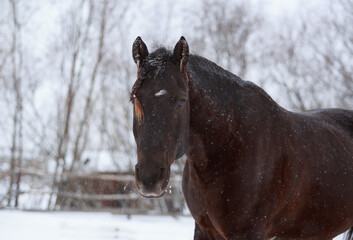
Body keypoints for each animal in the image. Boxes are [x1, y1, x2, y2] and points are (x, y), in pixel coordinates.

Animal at [129, 36, 352, 240]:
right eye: (134, 99)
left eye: (181, 100)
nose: (150, 178)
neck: (230, 144)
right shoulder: (203, 230)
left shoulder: (248, 232)